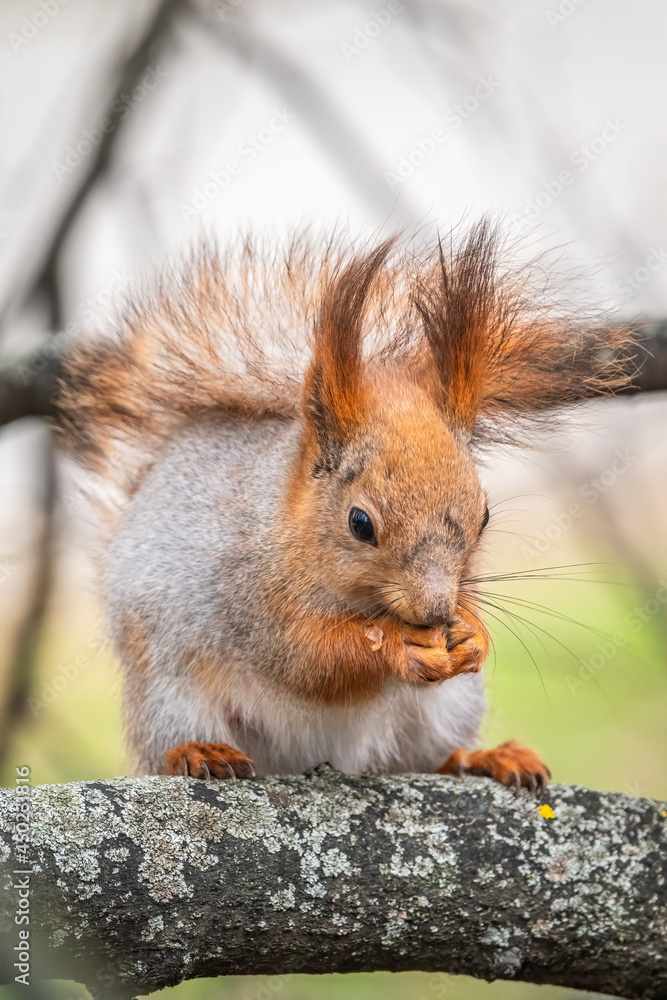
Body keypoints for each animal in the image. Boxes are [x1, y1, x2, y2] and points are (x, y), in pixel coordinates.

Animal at [59, 219, 631, 792]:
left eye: (484, 516)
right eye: (360, 523)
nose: (436, 610)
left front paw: (473, 634)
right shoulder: (249, 600)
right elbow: (307, 660)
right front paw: (395, 644)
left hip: (447, 709)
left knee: (427, 759)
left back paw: (487, 758)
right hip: (168, 692)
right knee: (171, 740)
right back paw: (200, 752)